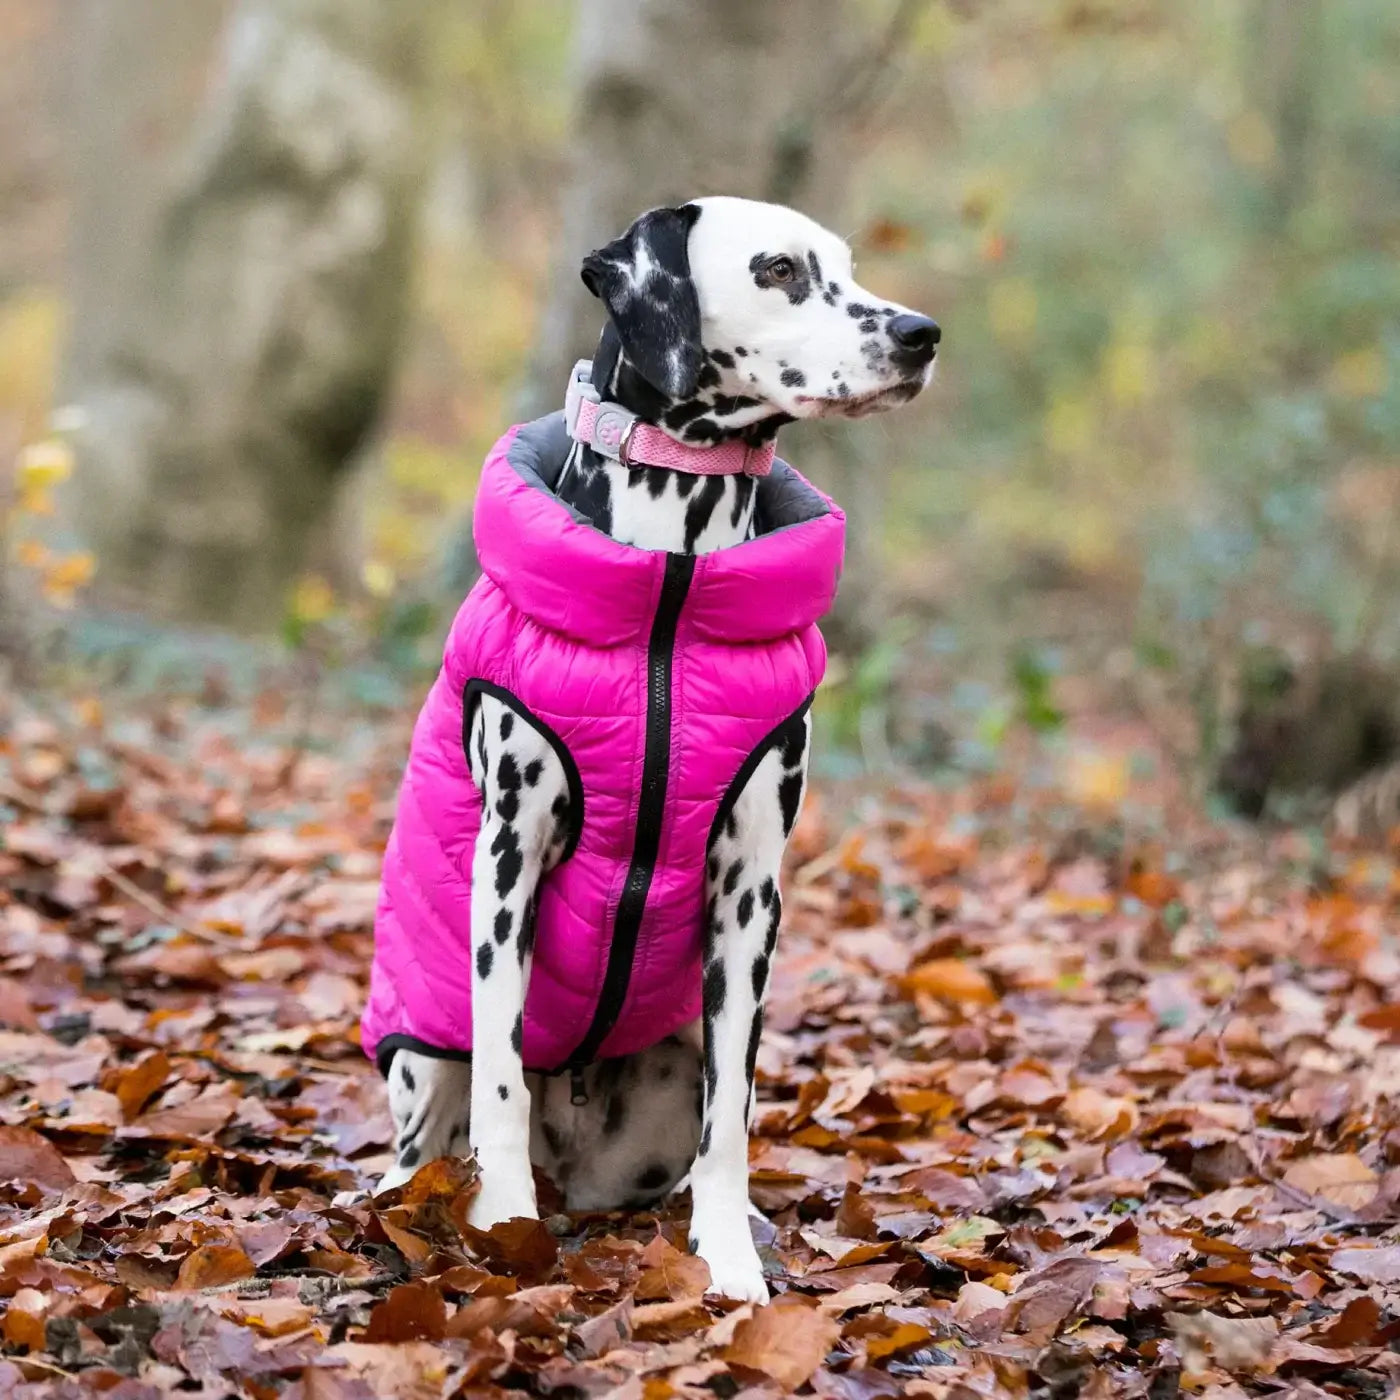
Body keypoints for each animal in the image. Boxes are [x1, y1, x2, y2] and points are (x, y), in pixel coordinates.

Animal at [380, 197, 940, 1299]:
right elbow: (502, 1076)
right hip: (424, 1056)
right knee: (425, 1140)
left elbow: (732, 1117)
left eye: (848, 267)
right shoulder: (507, 860)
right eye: (779, 270)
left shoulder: (749, 892)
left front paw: (728, 1258)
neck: (670, 593)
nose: (919, 335)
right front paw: (504, 1225)